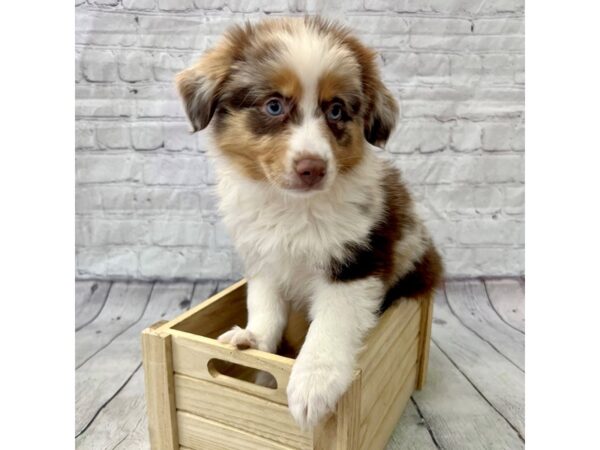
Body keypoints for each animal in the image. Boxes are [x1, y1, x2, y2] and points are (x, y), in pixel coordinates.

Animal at [176, 15, 442, 428]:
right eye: (273, 105)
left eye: (335, 111)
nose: (312, 168)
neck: (292, 208)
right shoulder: (263, 257)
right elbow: (264, 305)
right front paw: (253, 340)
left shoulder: (357, 262)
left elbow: (331, 325)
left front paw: (313, 384)